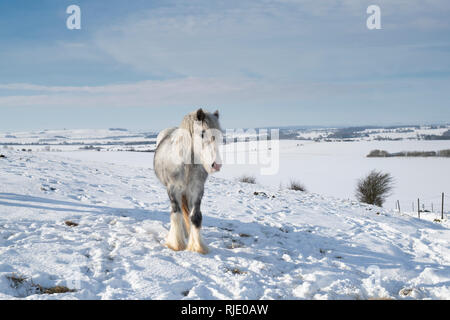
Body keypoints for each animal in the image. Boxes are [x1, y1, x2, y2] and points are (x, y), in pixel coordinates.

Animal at [154, 109, 222, 254]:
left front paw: (197, 246)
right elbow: (176, 214)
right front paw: (176, 244)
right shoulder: (173, 190)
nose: (216, 165)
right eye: (202, 133)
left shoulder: (197, 190)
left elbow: (195, 217)